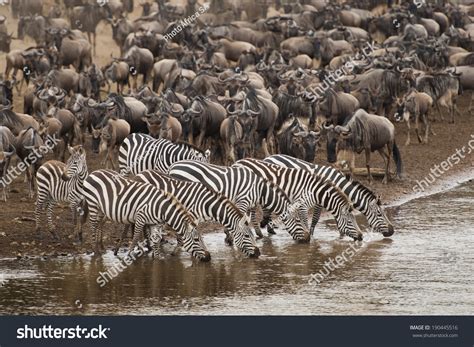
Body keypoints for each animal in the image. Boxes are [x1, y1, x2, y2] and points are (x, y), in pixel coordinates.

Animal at [83, 170, 211, 262]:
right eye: (196, 239)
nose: (208, 258)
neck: (160, 207)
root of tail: (94, 172)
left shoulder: (155, 223)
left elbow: (156, 240)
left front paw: (157, 257)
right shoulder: (140, 218)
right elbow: (135, 238)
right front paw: (128, 256)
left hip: (101, 209)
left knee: (98, 224)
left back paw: (100, 248)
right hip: (93, 204)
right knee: (93, 226)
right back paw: (96, 252)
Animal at [168, 162, 312, 243]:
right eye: (298, 220)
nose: (307, 240)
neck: (259, 189)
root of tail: (173, 166)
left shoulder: (248, 203)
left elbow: (250, 219)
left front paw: (256, 234)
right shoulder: (242, 201)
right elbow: (239, 220)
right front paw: (231, 238)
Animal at [233, 158, 362, 242]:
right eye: (350, 222)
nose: (361, 237)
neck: (314, 190)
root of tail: (237, 162)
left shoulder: (300, 205)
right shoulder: (303, 206)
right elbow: (308, 221)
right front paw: (310, 239)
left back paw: (260, 232)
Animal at [264, 154, 394, 238]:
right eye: (379, 214)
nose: (392, 231)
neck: (336, 183)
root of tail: (268, 157)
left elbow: (338, 216)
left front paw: (341, 236)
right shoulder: (320, 200)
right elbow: (315, 219)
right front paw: (312, 236)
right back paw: (270, 230)